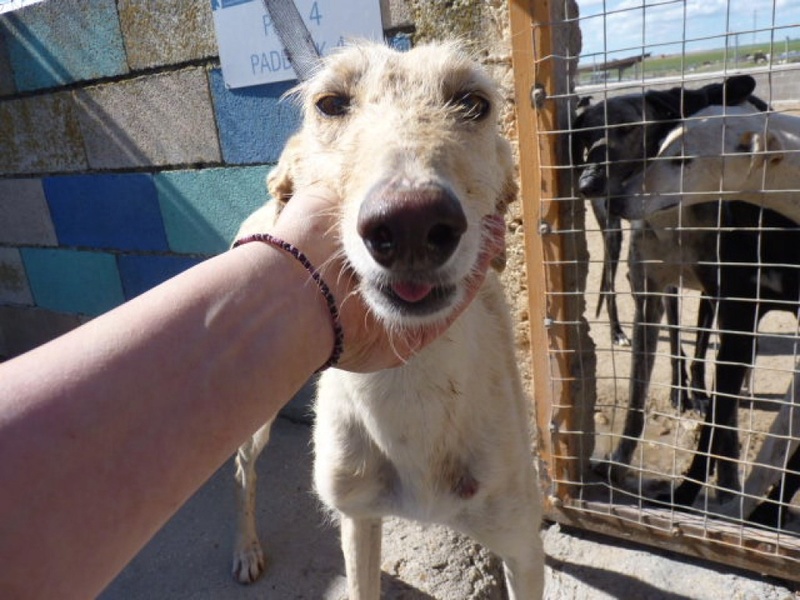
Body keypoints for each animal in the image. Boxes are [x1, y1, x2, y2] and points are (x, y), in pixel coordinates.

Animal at [230, 42, 544, 600]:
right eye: (330, 103)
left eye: (473, 102)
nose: (411, 222)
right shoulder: (357, 519)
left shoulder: (524, 548)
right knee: (244, 470)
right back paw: (246, 548)